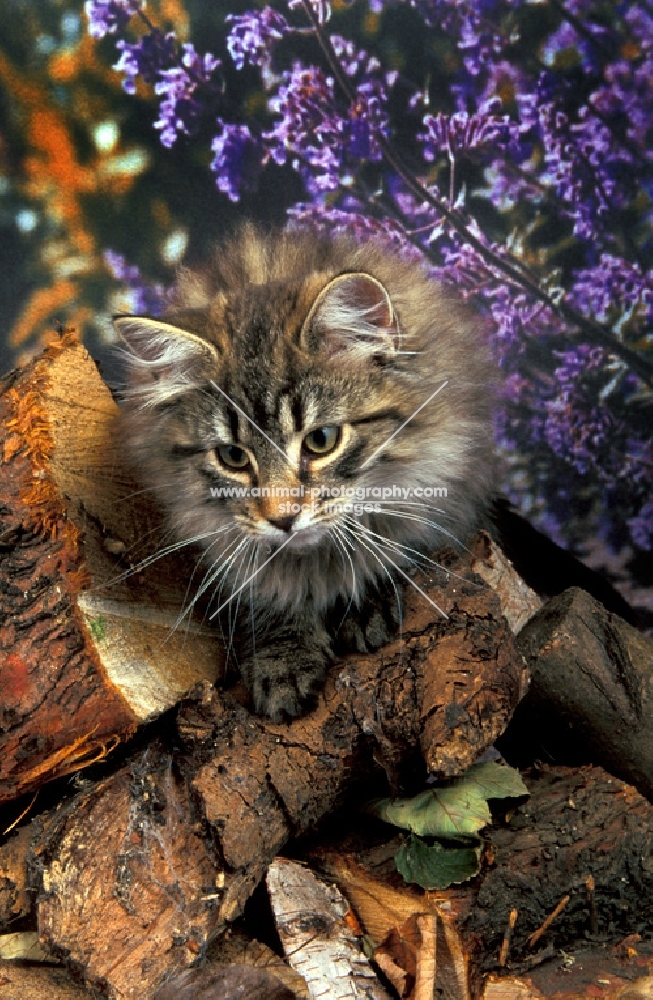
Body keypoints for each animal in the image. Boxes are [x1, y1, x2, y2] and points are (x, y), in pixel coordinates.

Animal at [116, 225, 494, 720]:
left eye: (321, 440)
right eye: (233, 457)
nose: (282, 519)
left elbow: (391, 545)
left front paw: (366, 597)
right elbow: (270, 597)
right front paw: (283, 661)